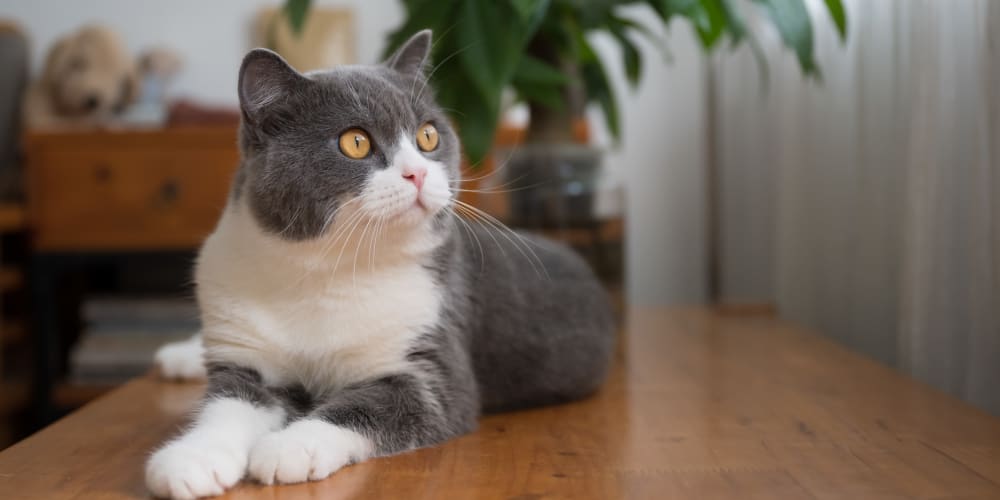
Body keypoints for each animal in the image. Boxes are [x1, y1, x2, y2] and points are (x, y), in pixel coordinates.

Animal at [146, 32, 616, 500]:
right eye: (355, 142)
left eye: (429, 135)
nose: (417, 174)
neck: (324, 271)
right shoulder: (246, 355)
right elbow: (228, 405)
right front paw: (190, 460)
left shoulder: (432, 365)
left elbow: (367, 406)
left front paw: (289, 447)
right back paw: (182, 355)